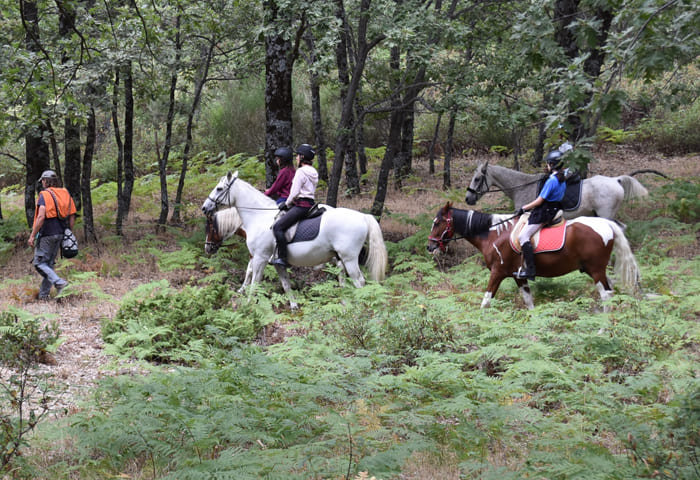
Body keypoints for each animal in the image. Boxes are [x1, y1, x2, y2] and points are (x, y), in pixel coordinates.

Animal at [201, 171, 388, 310]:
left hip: (349, 258)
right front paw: (293, 305)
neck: (258, 217)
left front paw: (247, 304)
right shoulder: (277, 262)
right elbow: (285, 284)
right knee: (344, 278)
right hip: (340, 258)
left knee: (359, 282)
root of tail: (363, 216)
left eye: (219, 189)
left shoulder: (260, 257)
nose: (204, 207)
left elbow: (254, 281)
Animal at [426, 203, 640, 310]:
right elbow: (529, 301)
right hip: (592, 269)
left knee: (606, 295)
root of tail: (606, 224)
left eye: (437, 222)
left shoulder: (497, 273)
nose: (430, 247)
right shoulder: (518, 276)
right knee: (611, 289)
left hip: (595, 270)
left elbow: (485, 302)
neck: (494, 234)